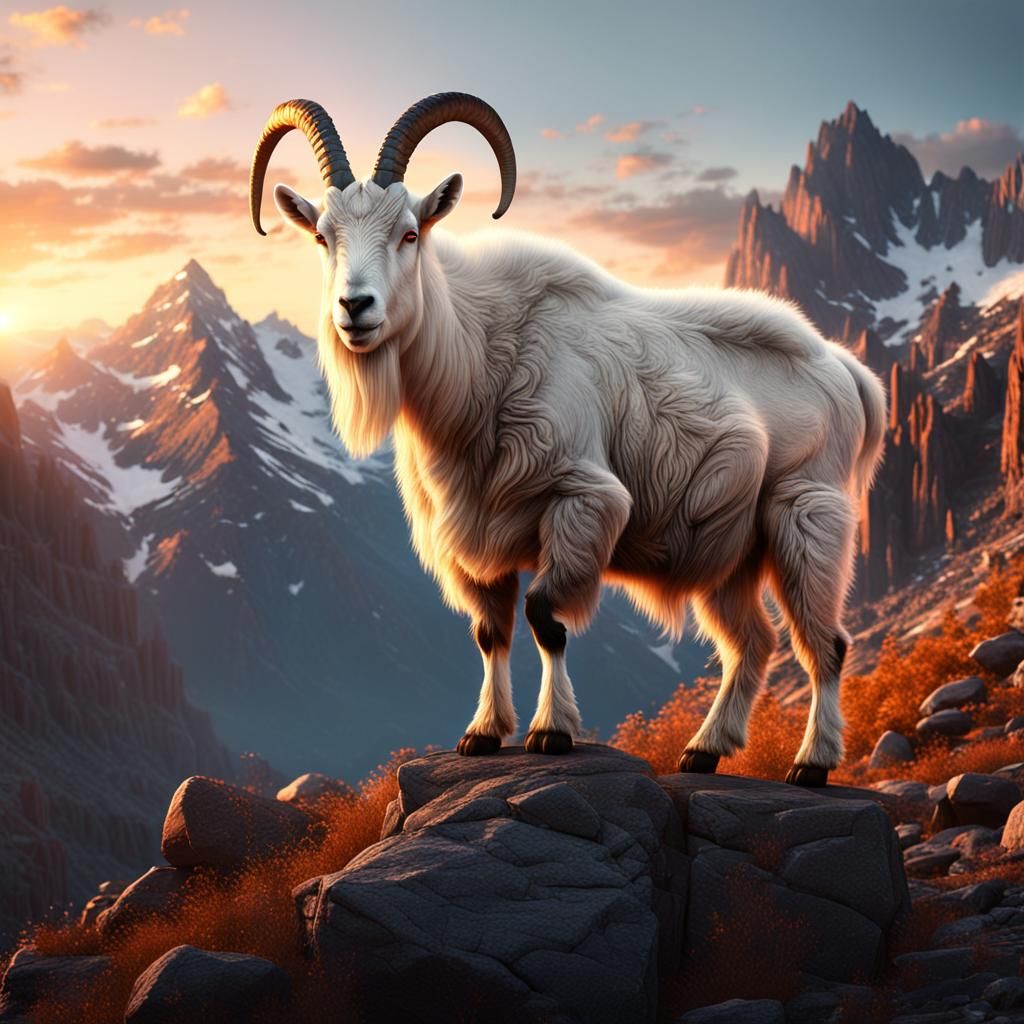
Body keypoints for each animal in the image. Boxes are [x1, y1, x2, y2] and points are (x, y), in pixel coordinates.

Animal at [249, 93, 886, 785]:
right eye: (322, 236)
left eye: (410, 233)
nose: (355, 308)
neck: (484, 355)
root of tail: (848, 373)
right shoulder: (475, 535)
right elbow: (489, 633)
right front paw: (482, 733)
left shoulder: (582, 501)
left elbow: (545, 619)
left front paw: (550, 731)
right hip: (731, 549)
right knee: (753, 643)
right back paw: (704, 750)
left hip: (807, 517)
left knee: (826, 643)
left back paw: (811, 763)